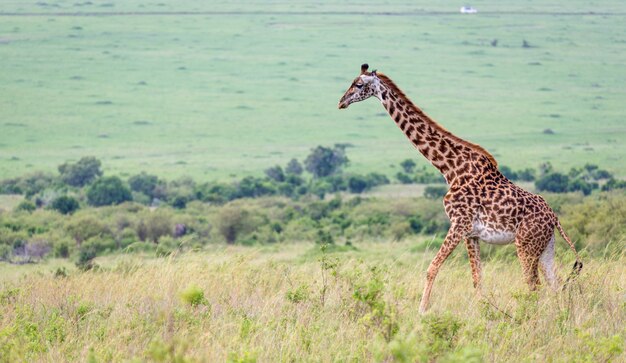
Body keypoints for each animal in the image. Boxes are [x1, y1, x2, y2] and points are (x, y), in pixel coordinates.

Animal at [336, 64, 580, 314]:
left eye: (358, 84)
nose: (341, 102)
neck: (450, 168)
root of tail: (554, 218)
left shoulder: (459, 223)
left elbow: (432, 268)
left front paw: (421, 311)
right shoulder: (471, 234)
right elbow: (477, 279)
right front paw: (482, 313)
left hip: (525, 245)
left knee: (533, 285)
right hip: (546, 246)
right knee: (554, 283)